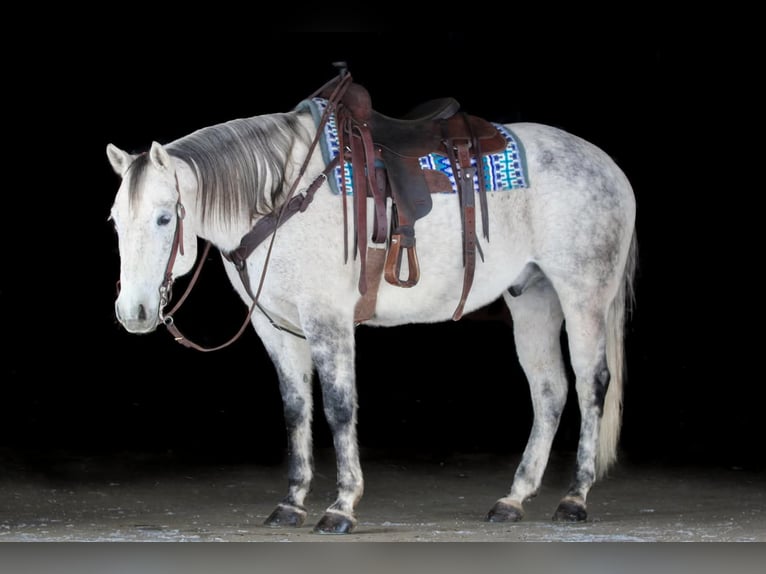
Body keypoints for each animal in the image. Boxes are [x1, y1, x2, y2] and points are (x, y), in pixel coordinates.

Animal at [106, 70, 637, 534]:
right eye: (114, 220)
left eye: (163, 218)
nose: (133, 313)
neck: (281, 197)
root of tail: (608, 166)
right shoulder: (275, 328)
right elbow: (296, 409)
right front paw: (292, 503)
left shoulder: (328, 320)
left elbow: (339, 407)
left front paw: (341, 506)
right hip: (532, 298)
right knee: (549, 392)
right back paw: (514, 499)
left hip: (583, 294)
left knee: (592, 384)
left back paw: (575, 498)